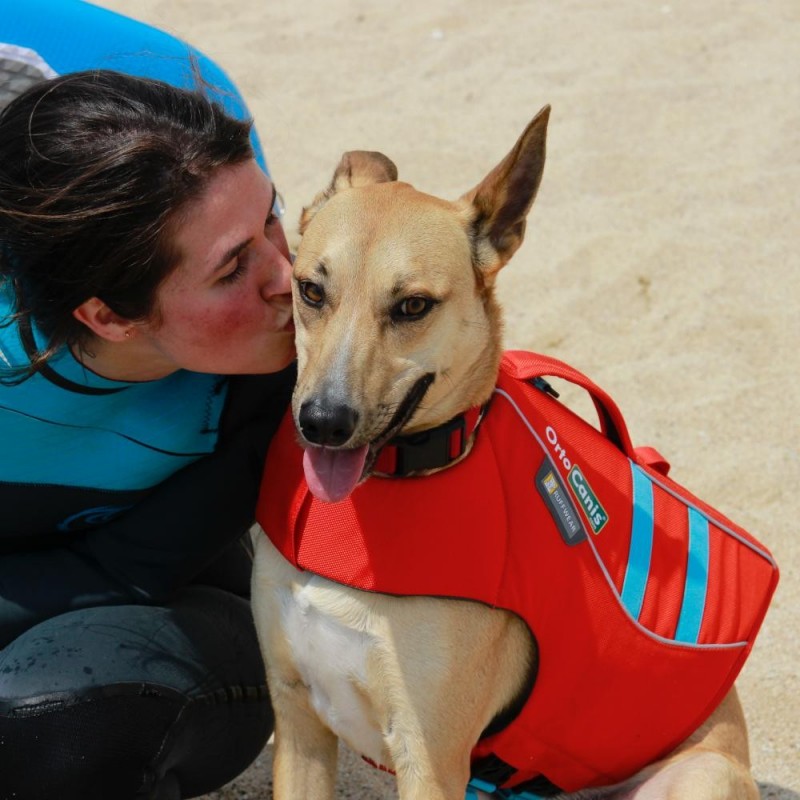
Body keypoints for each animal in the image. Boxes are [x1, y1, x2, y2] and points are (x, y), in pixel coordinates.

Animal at [253, 108, 764, 800]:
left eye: (412, 305)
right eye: (309, 291)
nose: (323, 424)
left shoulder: (430, 759)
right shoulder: (299, 723)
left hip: (700, 773)